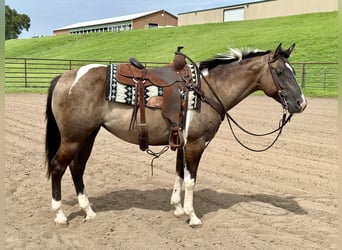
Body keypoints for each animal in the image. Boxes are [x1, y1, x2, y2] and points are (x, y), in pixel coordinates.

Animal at [44, 43, 308, 227]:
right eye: (280, 72)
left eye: (293, 71)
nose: (301, 103)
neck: (208, 90)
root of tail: (65, 77)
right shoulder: (195, 143)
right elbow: (191, 180)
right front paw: (192, 216)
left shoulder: (183, 142)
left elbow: (179, 173)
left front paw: (178, 209)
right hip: (73, 138)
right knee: (58, 167)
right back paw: (60, 215)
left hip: (88, 135)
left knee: (77, 168)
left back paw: (88, 211)